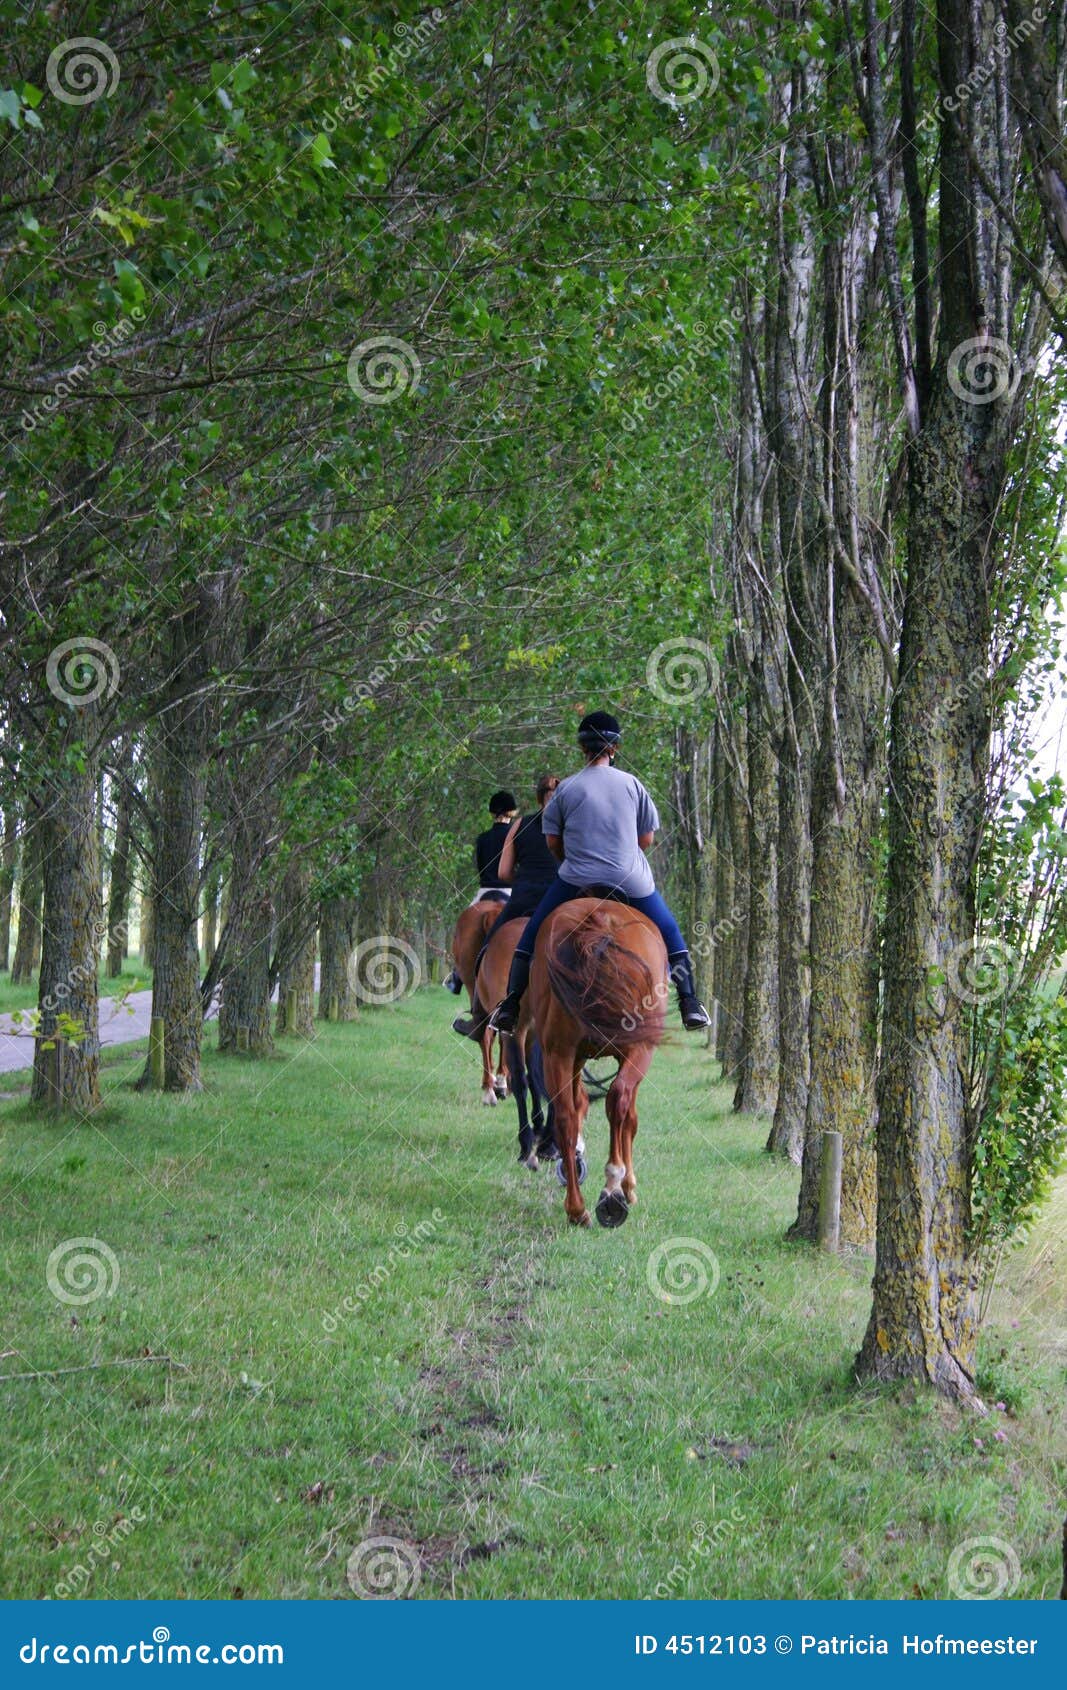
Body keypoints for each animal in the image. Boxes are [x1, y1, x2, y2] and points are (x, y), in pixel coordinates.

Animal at [530, 898, 667, 1227]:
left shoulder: (574, 1057)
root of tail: (599, 921)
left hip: (558, 1053)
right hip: (640, 1048)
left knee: (566, 1117)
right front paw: (628, 1186)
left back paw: (577, 1209)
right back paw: (612, 1191)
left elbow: (580, 1103)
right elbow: (630, 1119)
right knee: (618, 1100)